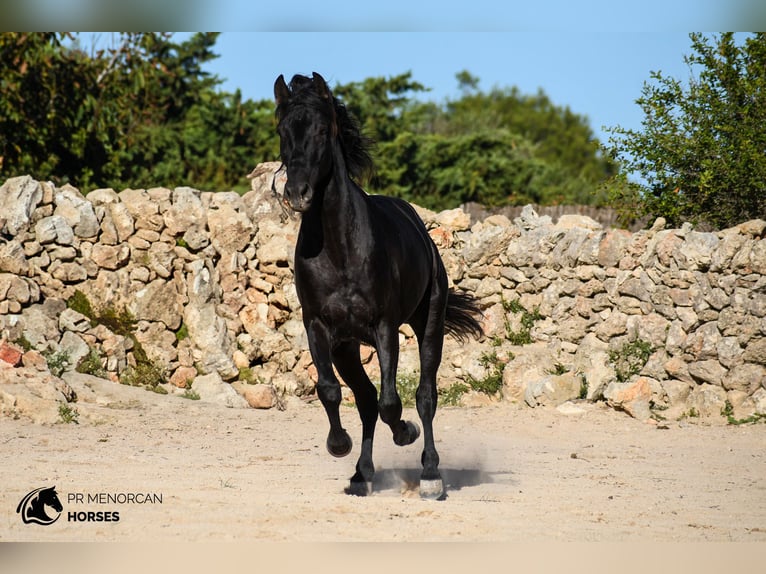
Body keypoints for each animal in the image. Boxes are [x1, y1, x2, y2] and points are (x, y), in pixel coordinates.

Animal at [274, 72, 480, 500]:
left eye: (322, 129)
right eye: (282, 130)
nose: (297, 194)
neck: (340, 248)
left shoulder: (385, 328)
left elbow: (392, 403)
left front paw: (406, 434)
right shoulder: (318, 327)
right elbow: (332, 391)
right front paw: (339, 446)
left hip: (428, 325)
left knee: (424, 396)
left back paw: (430, 474)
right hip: (347, 346)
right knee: (366, 399)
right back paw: (361, 474)